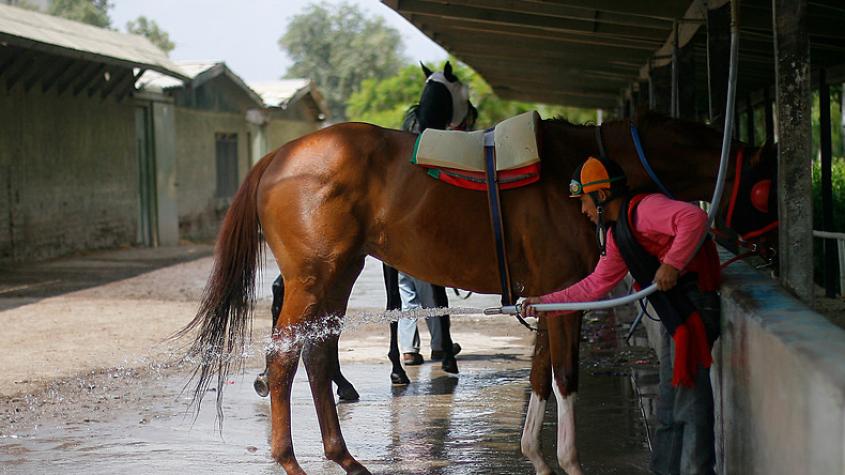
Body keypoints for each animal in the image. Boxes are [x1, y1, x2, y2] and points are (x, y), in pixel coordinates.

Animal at [181, 112, 776, 475]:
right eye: (765, 190)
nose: (770, 251)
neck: (585, 173)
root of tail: (277, 157)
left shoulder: (552, 294)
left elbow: (539, 375)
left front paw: (535, 455)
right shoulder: (565, 291)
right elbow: (565, 377)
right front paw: (570, 462)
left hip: (339, 276)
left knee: (319, 355)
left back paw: (343, 456)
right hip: (310, 280)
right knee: (282, 361)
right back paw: (290, 458)